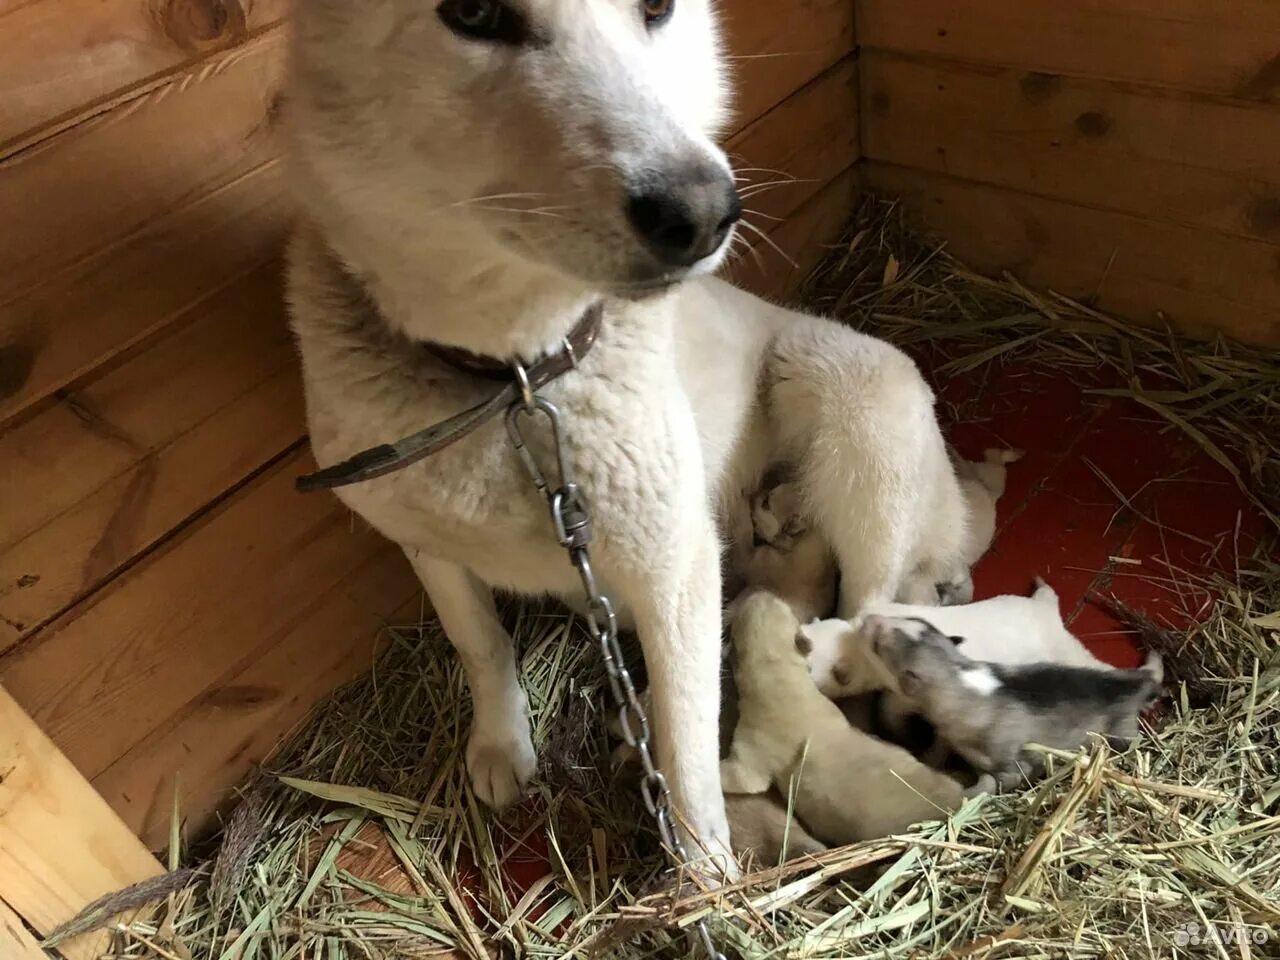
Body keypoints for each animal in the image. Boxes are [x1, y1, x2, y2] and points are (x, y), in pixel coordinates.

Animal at [721, 591, 988, 844]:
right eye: (790, 614)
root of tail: (959, 799)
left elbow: (741, 777)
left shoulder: (753, 755)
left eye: (738, 625)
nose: (761, 593)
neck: (781, 672)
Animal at [870, 616, 1162, 788]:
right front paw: (928, 759)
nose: (874, 618)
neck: (961, 675)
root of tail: (1135, 682)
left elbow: (1008, 776)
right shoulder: (947, 734)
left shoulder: (1006, 757)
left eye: (879, 644)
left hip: (1120, 730)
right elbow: (938, 749)